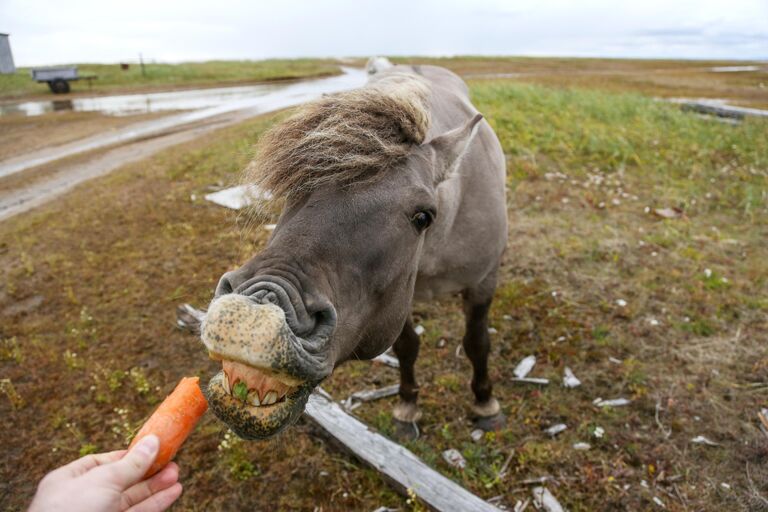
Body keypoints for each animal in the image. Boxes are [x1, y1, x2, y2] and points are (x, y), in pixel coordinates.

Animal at [201, 58, 508, 438]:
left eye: (422, 217)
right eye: (292, 189)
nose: (252, 318)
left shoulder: (483, 281)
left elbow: (477, 343)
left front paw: (485, 404)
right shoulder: (397, 302)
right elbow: (407, 346)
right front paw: (407, 407)